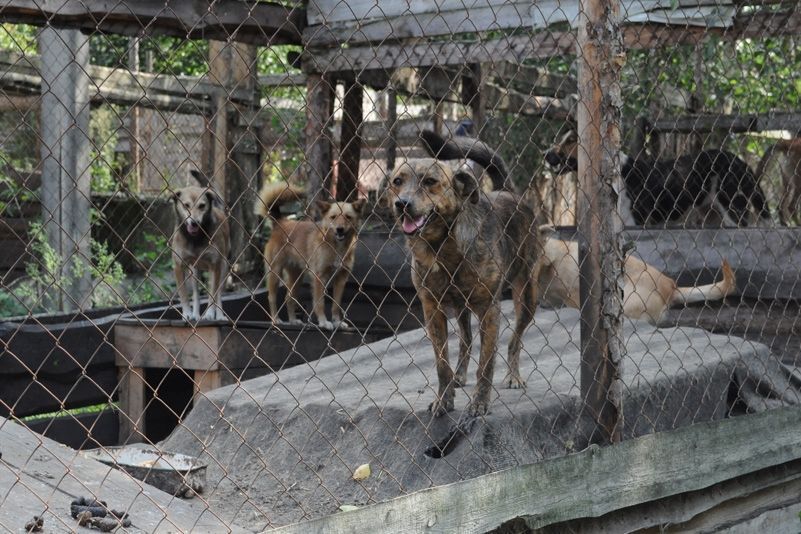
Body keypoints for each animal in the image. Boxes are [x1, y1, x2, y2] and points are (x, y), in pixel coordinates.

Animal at [170, 172, 230, 322]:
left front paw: (209, 314)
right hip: (194, 272)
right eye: (186, 205)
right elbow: (184, 295)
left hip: (223, 268)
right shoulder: (178, 266)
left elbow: (212, 295)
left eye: (202, 206)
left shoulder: (215, 266)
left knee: (218, 294)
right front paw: (187, 313)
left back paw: (219, 315)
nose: (194, 222)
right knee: (196, 295)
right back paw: (196, 314)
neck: (195, 238)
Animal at [255, 182, 364, 328]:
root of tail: (281, 222)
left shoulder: (341, 278)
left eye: (348, 217)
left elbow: (336, 305)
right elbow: (320, 303)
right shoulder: (319, 278)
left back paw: (293, 320)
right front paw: (323, 322)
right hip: (275, 272)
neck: (336, 246)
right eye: (333, 217)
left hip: (297, 276)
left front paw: (337, 321)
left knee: (289, 298)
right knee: (271, 297)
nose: (340, 229)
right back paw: (275, 319)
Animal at [384, 131, 540, 418]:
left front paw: (479, 402)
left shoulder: (489, 310)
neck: (442, 249)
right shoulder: (432, 310)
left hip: (527, 297)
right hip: (460, 308)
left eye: (430, 182)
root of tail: (507, 191)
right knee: (466, 340)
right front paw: (444, 400)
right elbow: (441, 364)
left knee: (514, 340)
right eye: (397, 182)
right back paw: (459, 375)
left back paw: (513, 376)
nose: (402, 204)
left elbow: (486, 364)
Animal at [544, 132, 768, 228]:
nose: (545, 154)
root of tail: (737, 160)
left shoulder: (633, 222)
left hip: (731, 206)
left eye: (570, 141)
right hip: (712, 211)